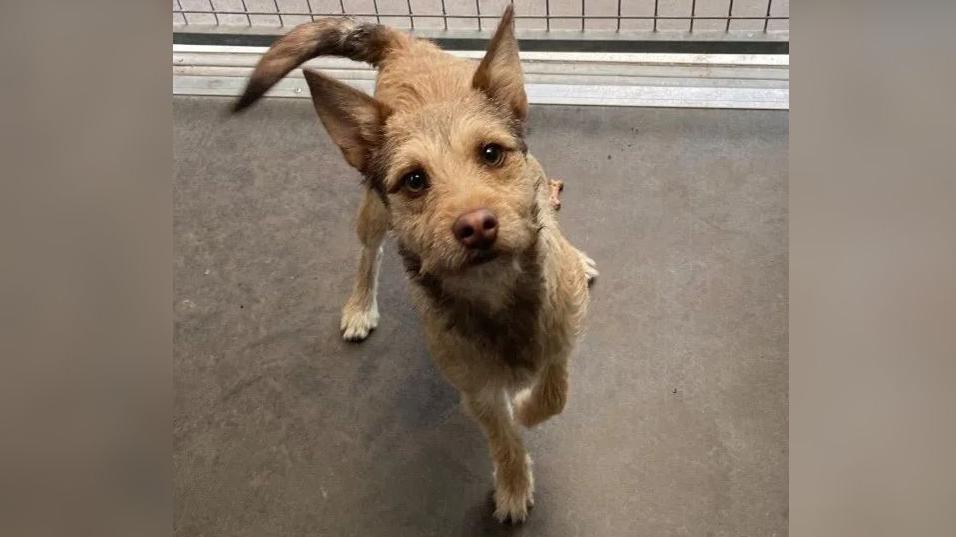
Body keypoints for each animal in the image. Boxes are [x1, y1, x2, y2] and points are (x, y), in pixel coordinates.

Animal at [233, 6, 596, 520]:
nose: (476, 226)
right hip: (371, 212)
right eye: (414, 180)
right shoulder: (475, 391)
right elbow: (502, 434)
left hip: (539, 172)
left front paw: (529, 404)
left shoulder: (564, 331)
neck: (496, 292)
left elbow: (554, 390)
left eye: (490, 153)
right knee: (368, 254)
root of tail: (404, 46)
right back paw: (359, 305)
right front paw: (512, 482)